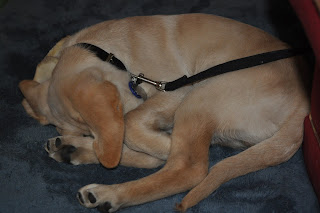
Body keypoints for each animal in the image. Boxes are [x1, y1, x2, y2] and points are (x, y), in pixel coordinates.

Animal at [18, 14, 308, 212]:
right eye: (90, 134)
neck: (111, 54)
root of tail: (302, 108)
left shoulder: (176, 89)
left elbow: (130, 123)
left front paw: (162, 145)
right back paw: (71, 151)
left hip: (199, 96)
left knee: (188, 168)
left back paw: (110, 193)